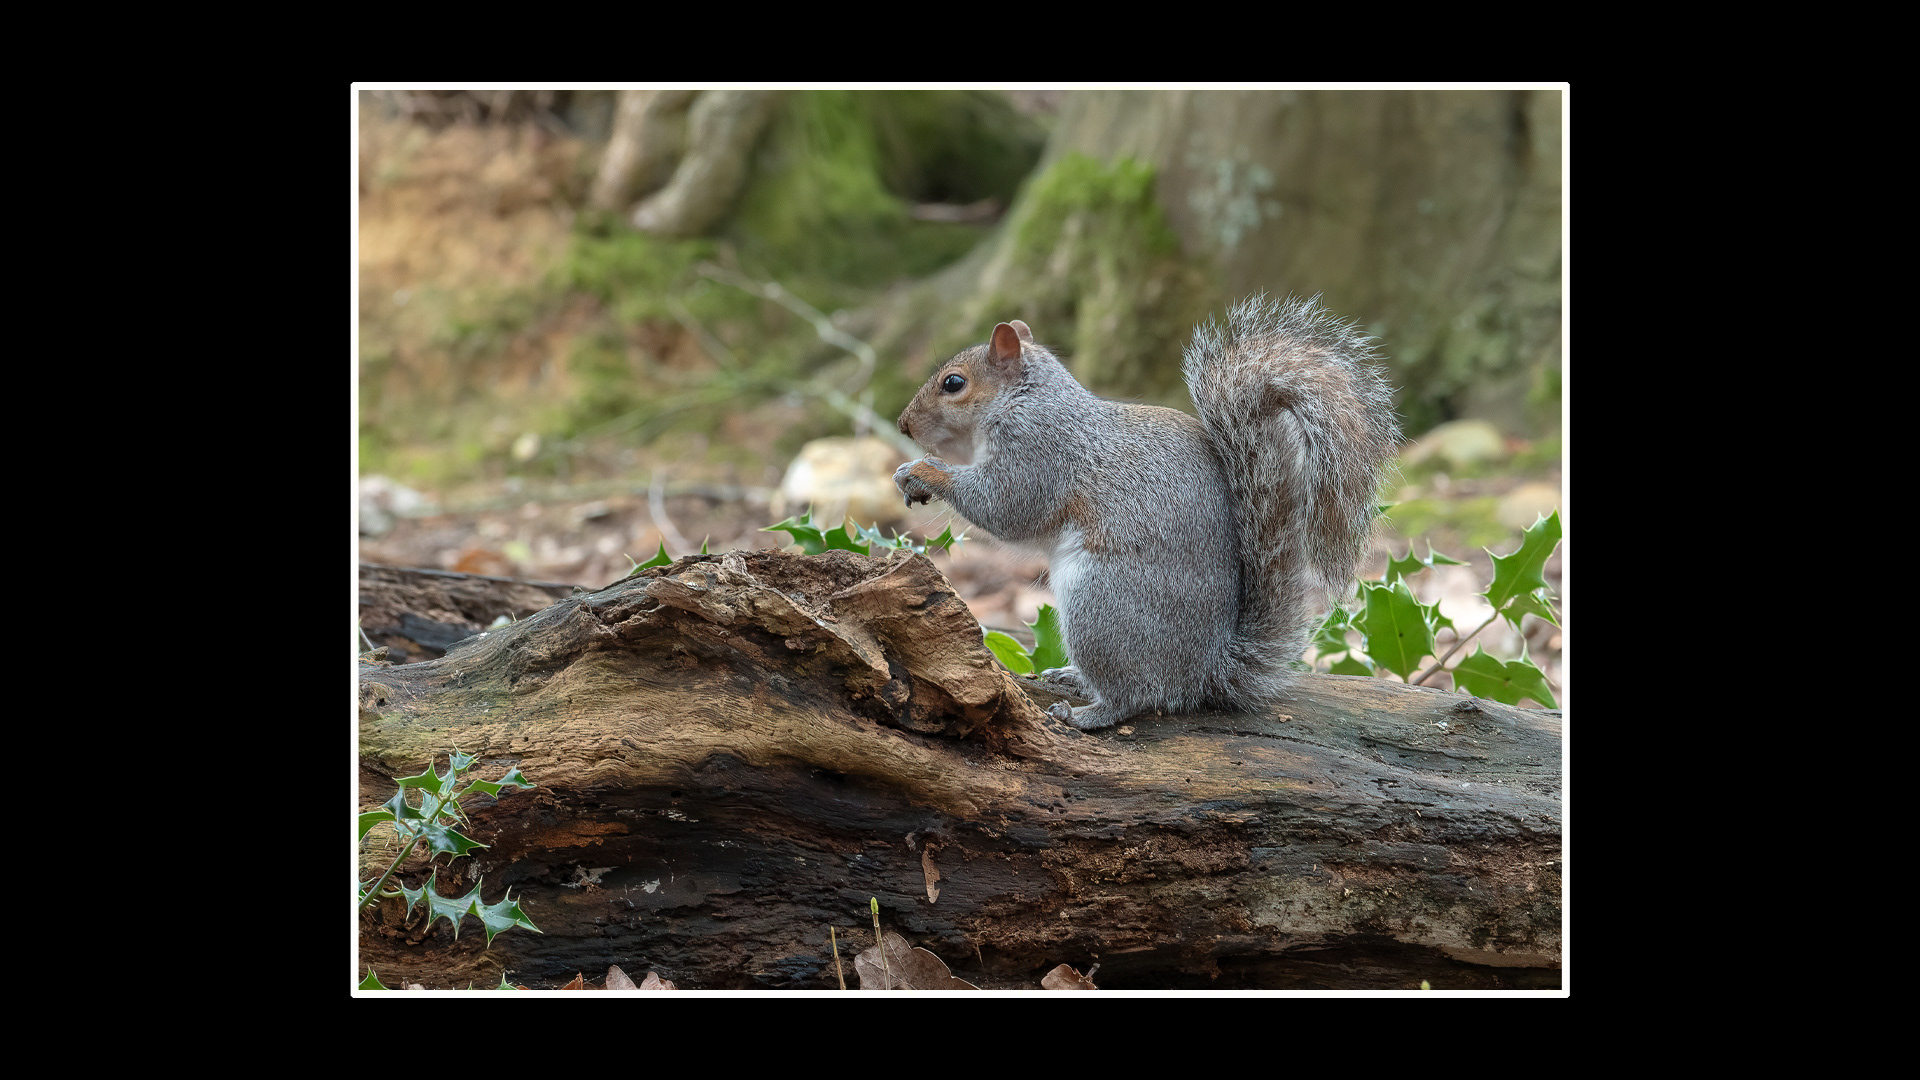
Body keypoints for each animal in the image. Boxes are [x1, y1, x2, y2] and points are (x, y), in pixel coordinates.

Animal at [894, 294, 1400, 731]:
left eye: (953, 383)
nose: (902, 425)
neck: (1026, 398)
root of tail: (1205, 671)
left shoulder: (1040, 449)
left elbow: (1006, 506)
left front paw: (925, 471)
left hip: (1099, 607)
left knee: (1137, 695)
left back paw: (1087, 713)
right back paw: (1074, 678)